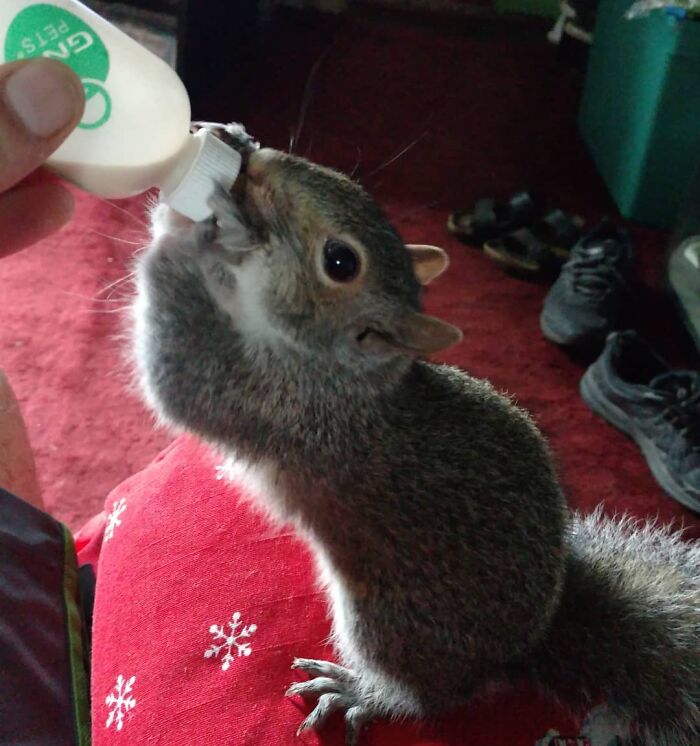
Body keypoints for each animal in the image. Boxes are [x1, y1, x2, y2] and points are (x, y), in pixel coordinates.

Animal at [132, 123, 700, 745]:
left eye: (340, 260)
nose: (255, 166)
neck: (347, 371)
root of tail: (526, 644)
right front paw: (226, 146)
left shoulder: (290, 407)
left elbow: (184, 377)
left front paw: (183, 237)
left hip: (392, 624)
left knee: (429, 696)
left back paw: (364, 692)